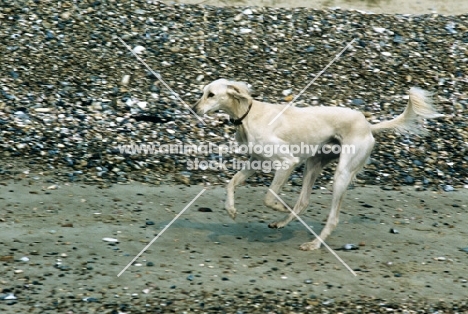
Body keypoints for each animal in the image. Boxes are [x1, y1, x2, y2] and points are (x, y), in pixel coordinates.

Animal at [192, 78, 440, 250]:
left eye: (211, 94)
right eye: (202, 92)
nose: (193, 110)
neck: (249, 114)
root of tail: (368, 125)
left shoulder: (287, 162)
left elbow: (269, 197)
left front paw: (281, 207)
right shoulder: (256, 162)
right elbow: (231, 183)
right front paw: (231, 209)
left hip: (341, 173)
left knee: (332, 218)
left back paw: (314, 244)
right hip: (313, 164)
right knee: (303, 202)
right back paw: (282, 223)